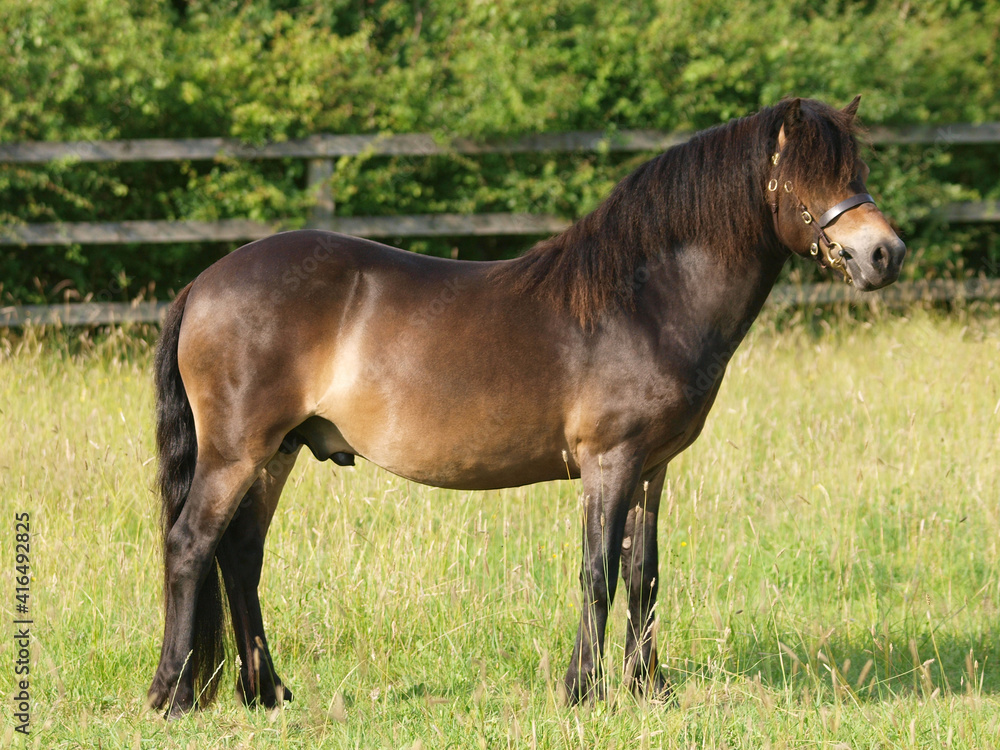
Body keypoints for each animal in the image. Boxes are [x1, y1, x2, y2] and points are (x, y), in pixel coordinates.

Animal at [146, 96, 905, 716]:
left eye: (858, 166)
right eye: (811, 174)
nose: (884, 254)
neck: (645, 301)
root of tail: (204, 283)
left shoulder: (652, 468)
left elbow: (644, 575)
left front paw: (650, 691)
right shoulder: (610, 461)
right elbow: (596, 573)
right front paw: (581, 691)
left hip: (277, 452)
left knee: (241, 554)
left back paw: (266, 692)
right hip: (236, 451)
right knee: (191, 546)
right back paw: (173, 695)